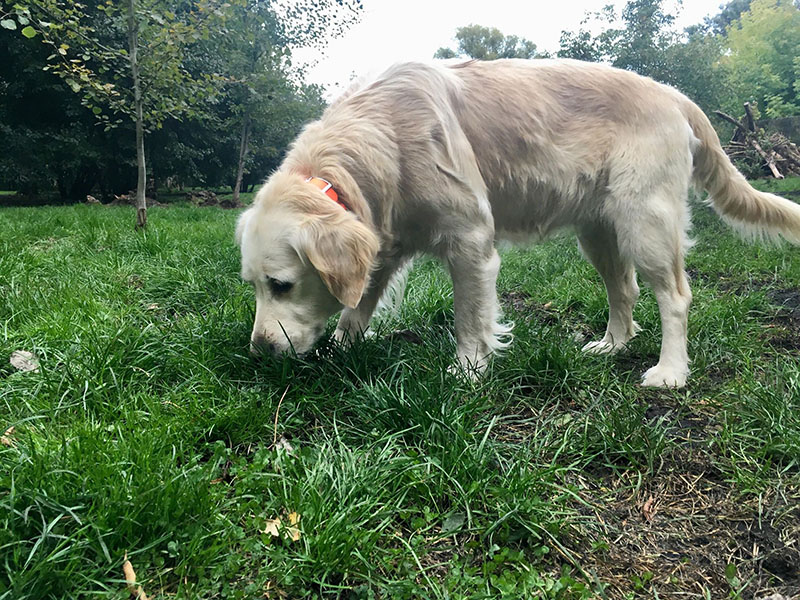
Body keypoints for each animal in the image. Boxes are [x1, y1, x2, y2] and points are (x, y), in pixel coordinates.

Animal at [234, 58, 800, 390]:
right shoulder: (384, 245)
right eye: (254, 286)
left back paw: (670, 372)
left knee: (674, 296)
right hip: (599, 233)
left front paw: (468, 370)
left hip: (647, 222)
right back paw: (612, 345)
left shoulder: (470, 241)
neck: (383, 131)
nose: (258, 353)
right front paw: (344, 347)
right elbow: (357, 306)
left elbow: (470, 318)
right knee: (625, 291)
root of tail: (672, 93)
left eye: (281, 285)